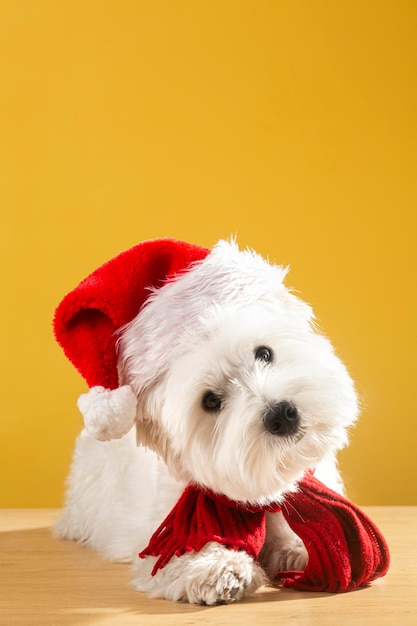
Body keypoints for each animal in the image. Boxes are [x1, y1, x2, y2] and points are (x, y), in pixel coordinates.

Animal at [52, 238, 358, 600]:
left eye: (264, 353)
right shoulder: (167, 535)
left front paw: (299, 547)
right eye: (211, 401)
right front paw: (220, 567)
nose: (282, 415)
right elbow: (187, 549)